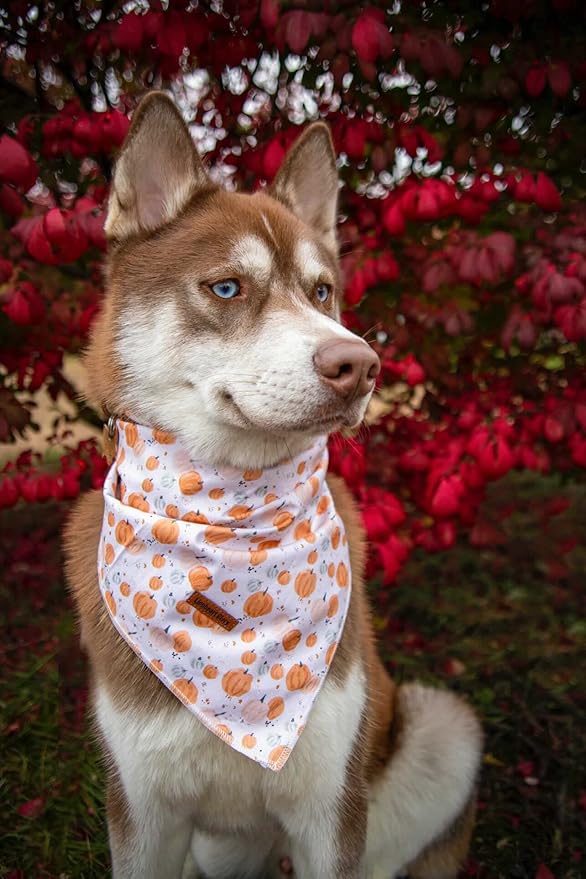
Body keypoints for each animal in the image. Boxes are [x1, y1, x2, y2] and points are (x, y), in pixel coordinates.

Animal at [64, 91, 482, 879]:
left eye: (322, 292)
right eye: (227, 287)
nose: (361, 365)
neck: (233, 521)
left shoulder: (331, 808)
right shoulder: (141, 809)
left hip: (445, 727)